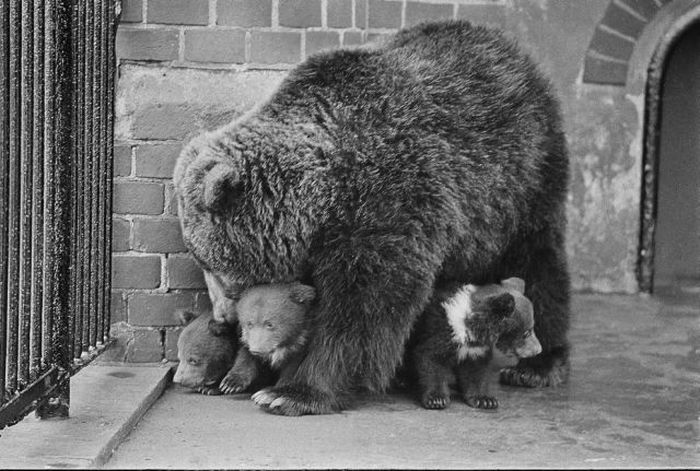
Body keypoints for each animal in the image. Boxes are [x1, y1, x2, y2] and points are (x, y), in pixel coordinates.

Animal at [174, 20, 568, 416]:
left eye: (210, 263)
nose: (223, 319)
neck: (326, 192)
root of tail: (511, 48)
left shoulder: (390, 203)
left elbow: (363, 308)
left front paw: (293, 392)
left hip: (518, 183)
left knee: (537, 262)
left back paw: (537, 364)